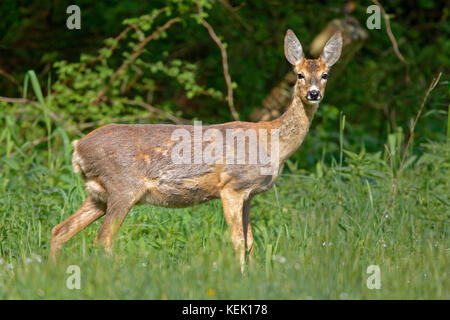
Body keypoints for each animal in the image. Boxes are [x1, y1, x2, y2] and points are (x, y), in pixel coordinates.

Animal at [51, 30, 342, 272]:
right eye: (299, 74)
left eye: (325, 75)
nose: (314, 94)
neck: (273, 143)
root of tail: (78, 148)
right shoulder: (232, 186)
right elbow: (237, 240)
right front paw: (241, 275)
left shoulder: (249, 194)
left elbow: (250, 241)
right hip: (123, 186)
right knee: (103, 238)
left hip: (98, 194)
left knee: (59, 230)